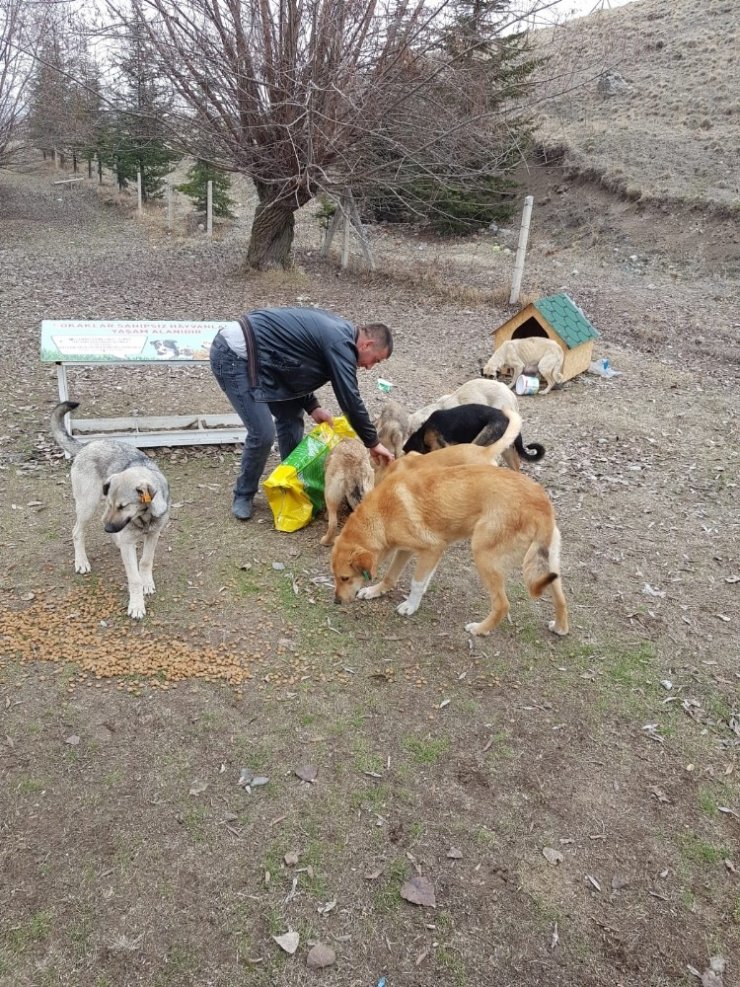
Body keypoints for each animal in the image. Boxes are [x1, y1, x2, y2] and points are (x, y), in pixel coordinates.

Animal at [50, 400, 171, 616]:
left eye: (124, 506)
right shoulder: (127, 538)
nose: (107, 529)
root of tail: (87, 445)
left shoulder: (153, 535)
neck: (144, 516)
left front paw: (147, 583)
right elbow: (134, 578)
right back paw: (81, 561)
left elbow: (146, 561)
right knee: (77, 532)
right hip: (87, 504)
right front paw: (136, 605)